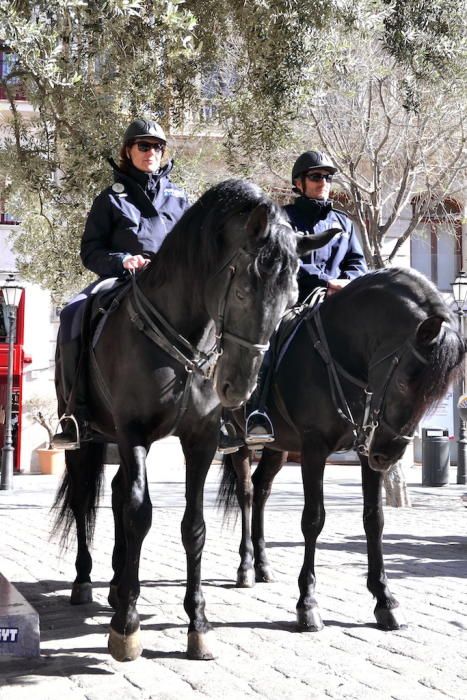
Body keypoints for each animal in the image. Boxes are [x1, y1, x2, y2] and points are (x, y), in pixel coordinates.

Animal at [51, 176, 338, 660]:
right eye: (242, 291)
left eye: (290, 300)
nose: (237, 388)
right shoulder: (133, 433)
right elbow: (139, 513)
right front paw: (126, 626)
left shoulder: (199, 440)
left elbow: (193, 527)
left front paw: (197, 623)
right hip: (85, 438)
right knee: (84, 497)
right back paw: (86, 580)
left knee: (116, 492)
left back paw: (117, 582)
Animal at [220, 266, 467, 632]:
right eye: (405, 381)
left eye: (437, 394)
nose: (387, 455)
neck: (340, 356)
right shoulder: (313, 449)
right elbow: (313, 519)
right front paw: (307, 603)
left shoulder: (365, 449)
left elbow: (374, 519)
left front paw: (384, 599)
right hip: (240, 439)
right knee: (248, 492)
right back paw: (247, 566)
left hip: (278, 446)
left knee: (262, 490)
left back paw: (263, 565)